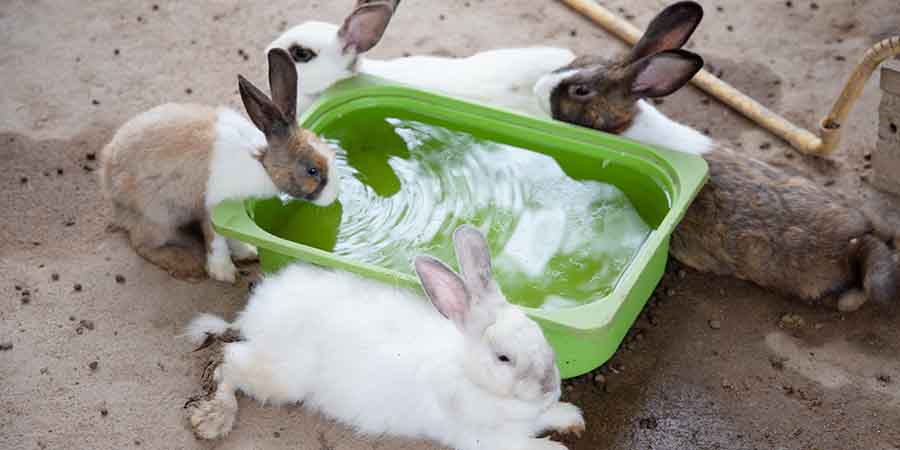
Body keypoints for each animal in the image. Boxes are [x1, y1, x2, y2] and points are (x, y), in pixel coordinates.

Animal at [99, 48, 338, 282]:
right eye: (312, 170)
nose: (335, 195)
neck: (261, 162)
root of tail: (108, 180)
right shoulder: (212, 205)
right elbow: (216, 239)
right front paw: (224, 273)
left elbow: (234, 236)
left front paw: (247, 252)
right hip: (157, 217)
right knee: (143, 245)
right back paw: (187, 266)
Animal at [186, 227, 588, 448]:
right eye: (503, 358)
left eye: (540, 335)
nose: (549, 387)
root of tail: (255, 312)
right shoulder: (485, 439)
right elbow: (535, 447)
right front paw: (561, 443)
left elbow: (548, 419)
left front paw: (572, 418)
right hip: (281, 378)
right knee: (227, 362)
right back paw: (213, 419)